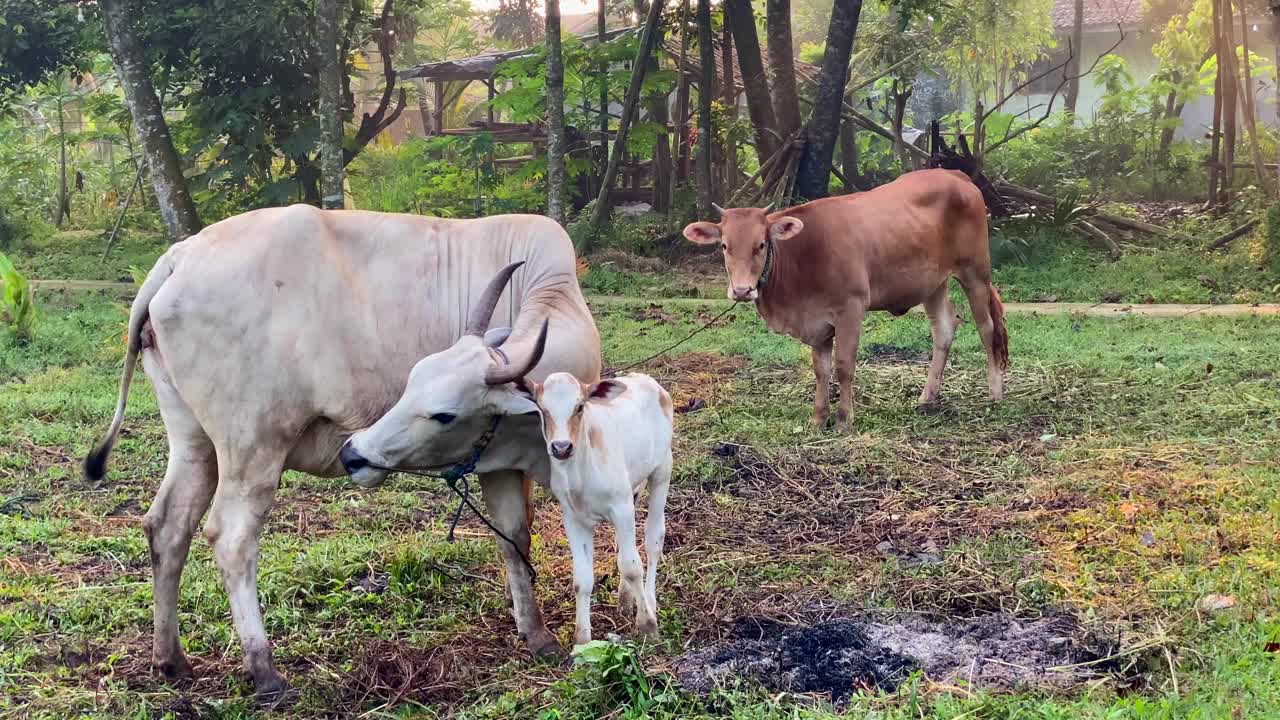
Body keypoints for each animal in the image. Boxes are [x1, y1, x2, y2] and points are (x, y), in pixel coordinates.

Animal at [87, 204, 601, 696]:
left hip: (193, 441)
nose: (355, 453)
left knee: (167, 526)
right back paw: (264, 669)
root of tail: (180, 256)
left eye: (441, 411)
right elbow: (518, 536)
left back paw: (170, 659)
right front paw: (542, 636)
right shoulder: (501, 461)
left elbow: (515, 537)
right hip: (252, 446)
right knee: (232, 539)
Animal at [524, 371, 675, 640]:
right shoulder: (573, 518)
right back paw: (625, 600)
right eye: (543, 409)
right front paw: (582, 639)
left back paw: (649, 601)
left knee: (653, 541)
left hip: (662, 470)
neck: (580, 474)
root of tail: (647, 379)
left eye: (580, 407)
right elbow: (582, 579)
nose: (561, 447)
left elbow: (632, 567)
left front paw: (648, 625)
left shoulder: (621, 506)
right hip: (633, 488)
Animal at [686, 167, 1003, 425]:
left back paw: (995, 393)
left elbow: (844, 366)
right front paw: (818, 418)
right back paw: (927, 397)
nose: (742, 290)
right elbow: (821, 370)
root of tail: (954, 174)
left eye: (761, 244)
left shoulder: (851, 309)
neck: (803, 255)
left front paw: (843, 419)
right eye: (724, 245)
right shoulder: (816, 321)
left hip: (976, 274)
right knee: (944, 330)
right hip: (932, 284)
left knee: (987, 330)